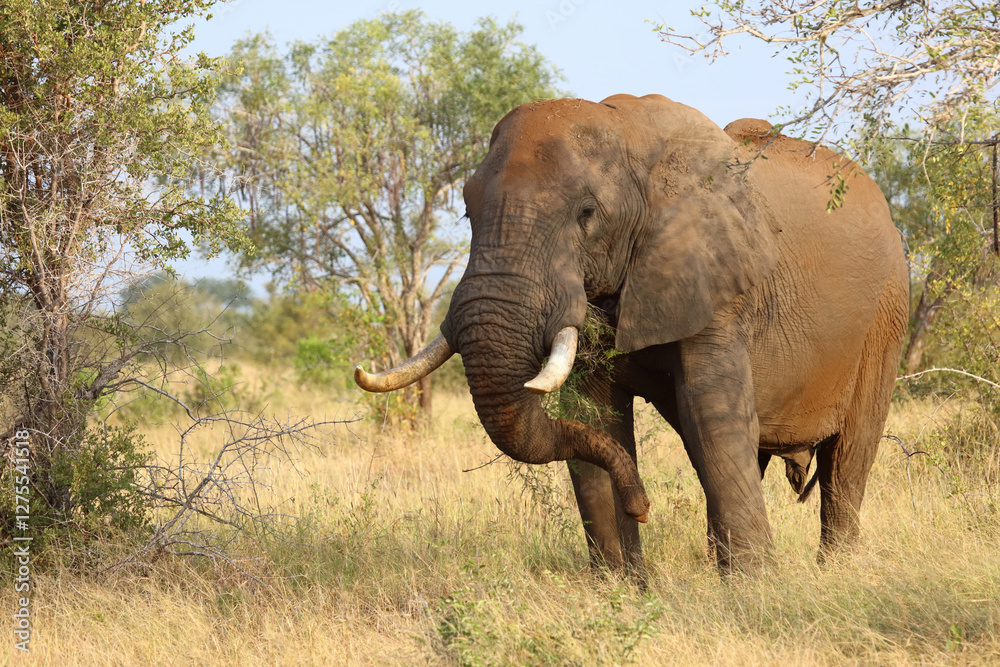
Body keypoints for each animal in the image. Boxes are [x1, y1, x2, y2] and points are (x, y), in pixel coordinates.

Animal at [355, 94, 909, 579]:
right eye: (468, 213)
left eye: (586, 214)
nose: (642, 505)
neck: (629, 136)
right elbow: (595, 417)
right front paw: (622, 591)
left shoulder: (714, 274)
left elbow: (711, 415)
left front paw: (755, 592)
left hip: (886, 312)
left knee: (847, 460)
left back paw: (836, 572)